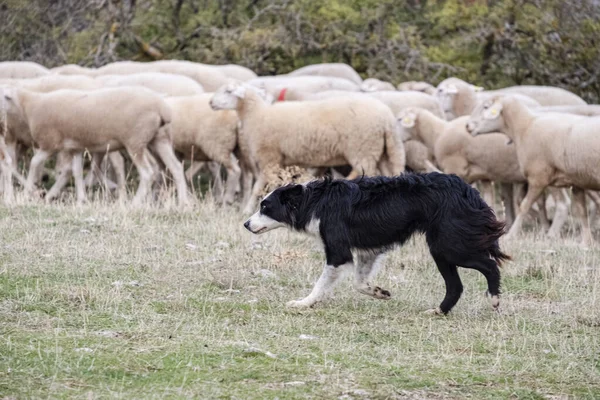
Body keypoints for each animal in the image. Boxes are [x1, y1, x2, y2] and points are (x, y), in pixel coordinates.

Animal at [1, 86, 189, 206]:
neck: (29, 105)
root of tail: (162, 107)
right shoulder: (75, 147)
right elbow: (76, 172)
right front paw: (81, 200)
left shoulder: (49, 144)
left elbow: (33, 163)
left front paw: (26, 193)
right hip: (160, 139)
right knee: (176, 167)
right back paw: (183, 203)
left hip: (135, 141)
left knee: (147, 172)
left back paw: (134, 204)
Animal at [209, 82, 406, 214]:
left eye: (228, 91)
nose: (211, 102)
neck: (257, 115)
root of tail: (387, 117)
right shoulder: (276, 160)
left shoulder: (269, 157)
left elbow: (259, 186)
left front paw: (248, 209)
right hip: (382, 151)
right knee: (387, 175)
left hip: (362, 148)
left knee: (365, 174)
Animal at [244, 173, 510, 314]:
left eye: (265, 207)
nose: (246, 224)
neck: (313, 201)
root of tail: (469, 190)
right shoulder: (368, 251)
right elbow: (360, 283)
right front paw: (379, 292)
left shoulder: (338, 252)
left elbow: (321, 284)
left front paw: (303, 303)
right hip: (441, 248)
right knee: (456, 285)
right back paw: (438, 312)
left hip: (449, 245)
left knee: (489, 266)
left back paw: (494, 299)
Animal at [466, 95, 600, 244]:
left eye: (485, 106)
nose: (467, 126)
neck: (525, 127)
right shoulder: (576, 182)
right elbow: (582, 212)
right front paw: (586, 242)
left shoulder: (538, 178)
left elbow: (524, 206)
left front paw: (511, 234)